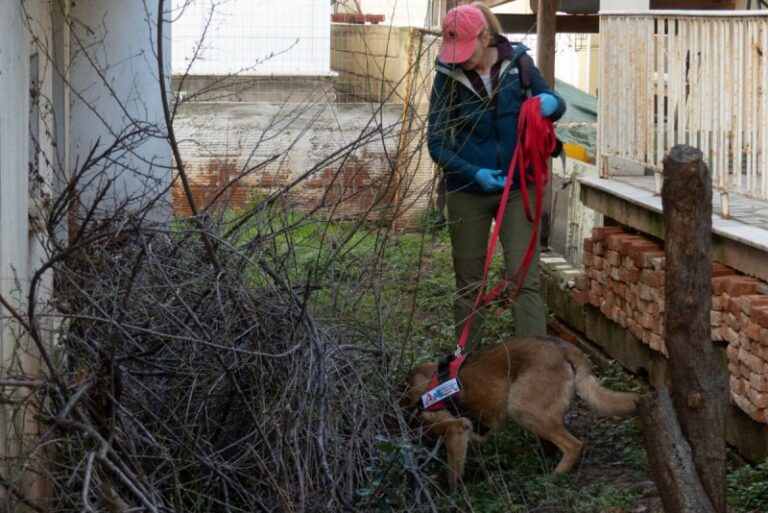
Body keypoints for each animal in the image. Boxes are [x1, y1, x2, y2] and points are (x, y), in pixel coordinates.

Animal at [400, 334, 640, 490]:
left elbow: (453, 476)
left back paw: (553, 477)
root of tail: (566, 348)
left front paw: (455, 498)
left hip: (521, 408)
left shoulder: (457, 429)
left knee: (574, 444)